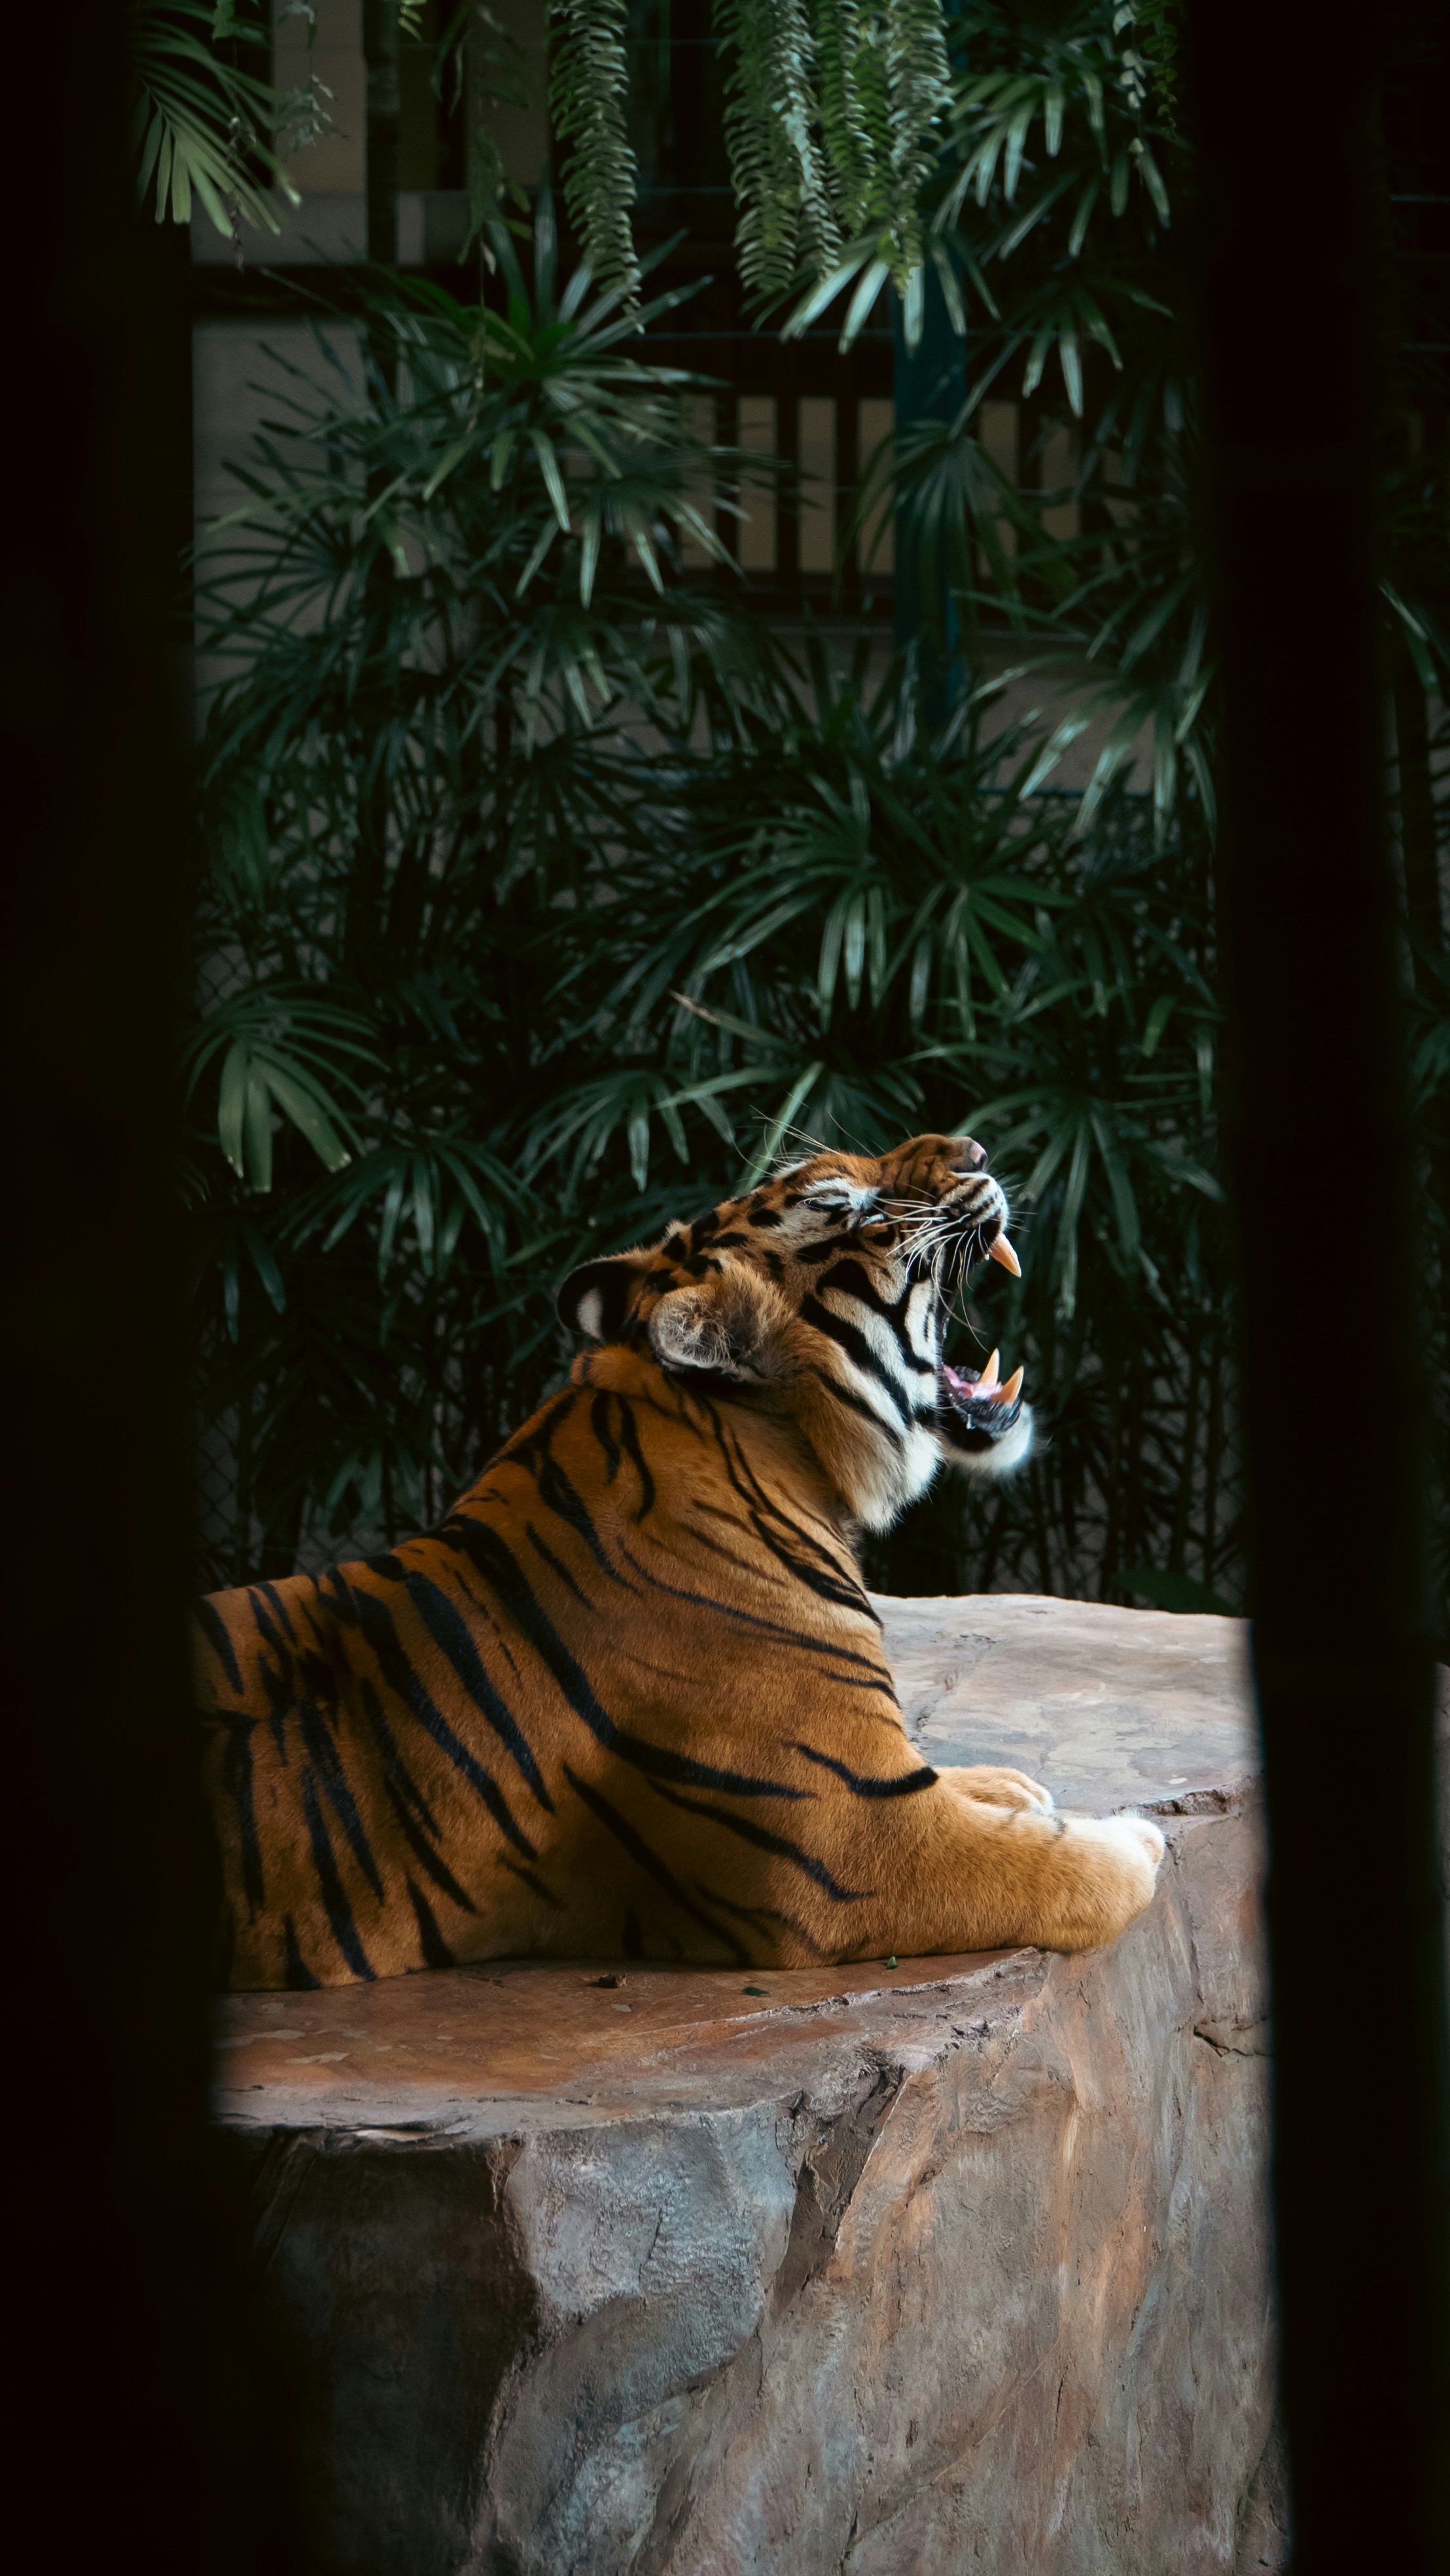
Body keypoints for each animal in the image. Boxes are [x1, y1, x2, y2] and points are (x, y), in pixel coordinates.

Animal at [195, 1130, 1165, 1990]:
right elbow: (1065, 1874)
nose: (975, 1151)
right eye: (850, 1208)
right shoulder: (849, 1840)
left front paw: (1007, 1785)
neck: (781, 1452)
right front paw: (1134, 1841)